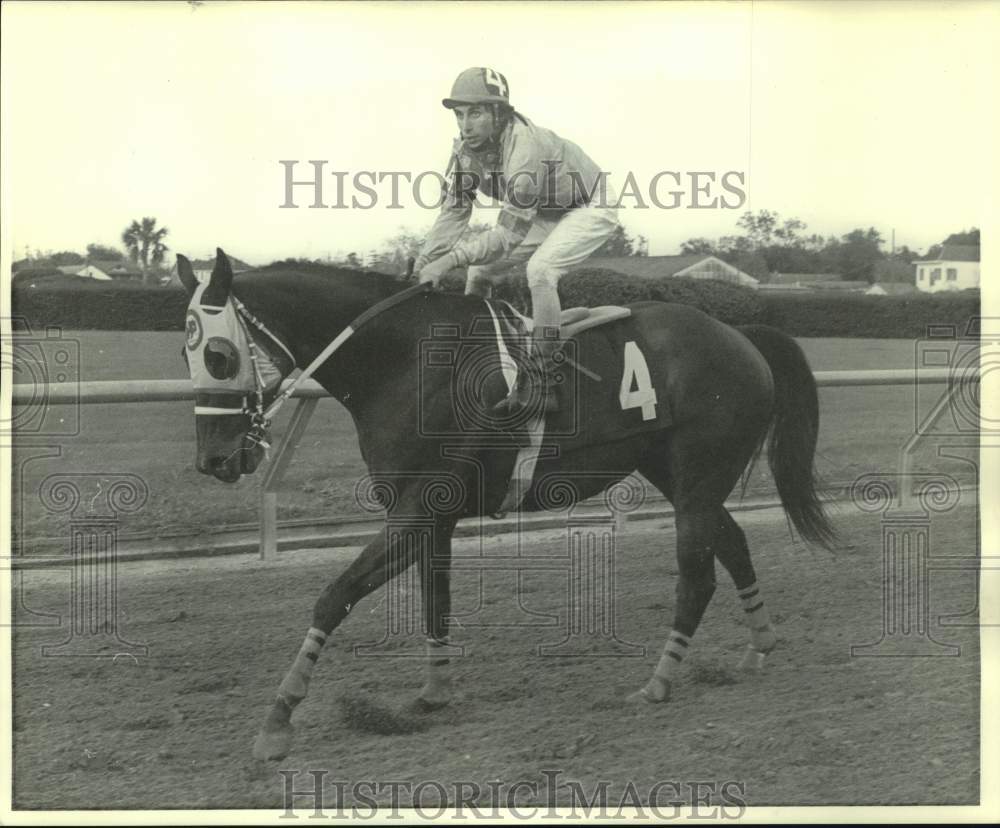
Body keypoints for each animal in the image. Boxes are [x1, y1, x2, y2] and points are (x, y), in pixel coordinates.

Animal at [176, 249, 832, 760]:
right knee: (733, 543)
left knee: (696, 577)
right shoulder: (432, 518)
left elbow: (334, 595)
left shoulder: (415, 510)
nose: (215, 460)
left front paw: (277, 721)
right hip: (679, 476)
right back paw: (759, 645)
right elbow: (435, 603)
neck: (407, 361)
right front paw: (434, 693)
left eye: (218, 355)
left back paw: (658, 682)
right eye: (187, 356)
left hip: (697, 479)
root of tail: (742, 336)